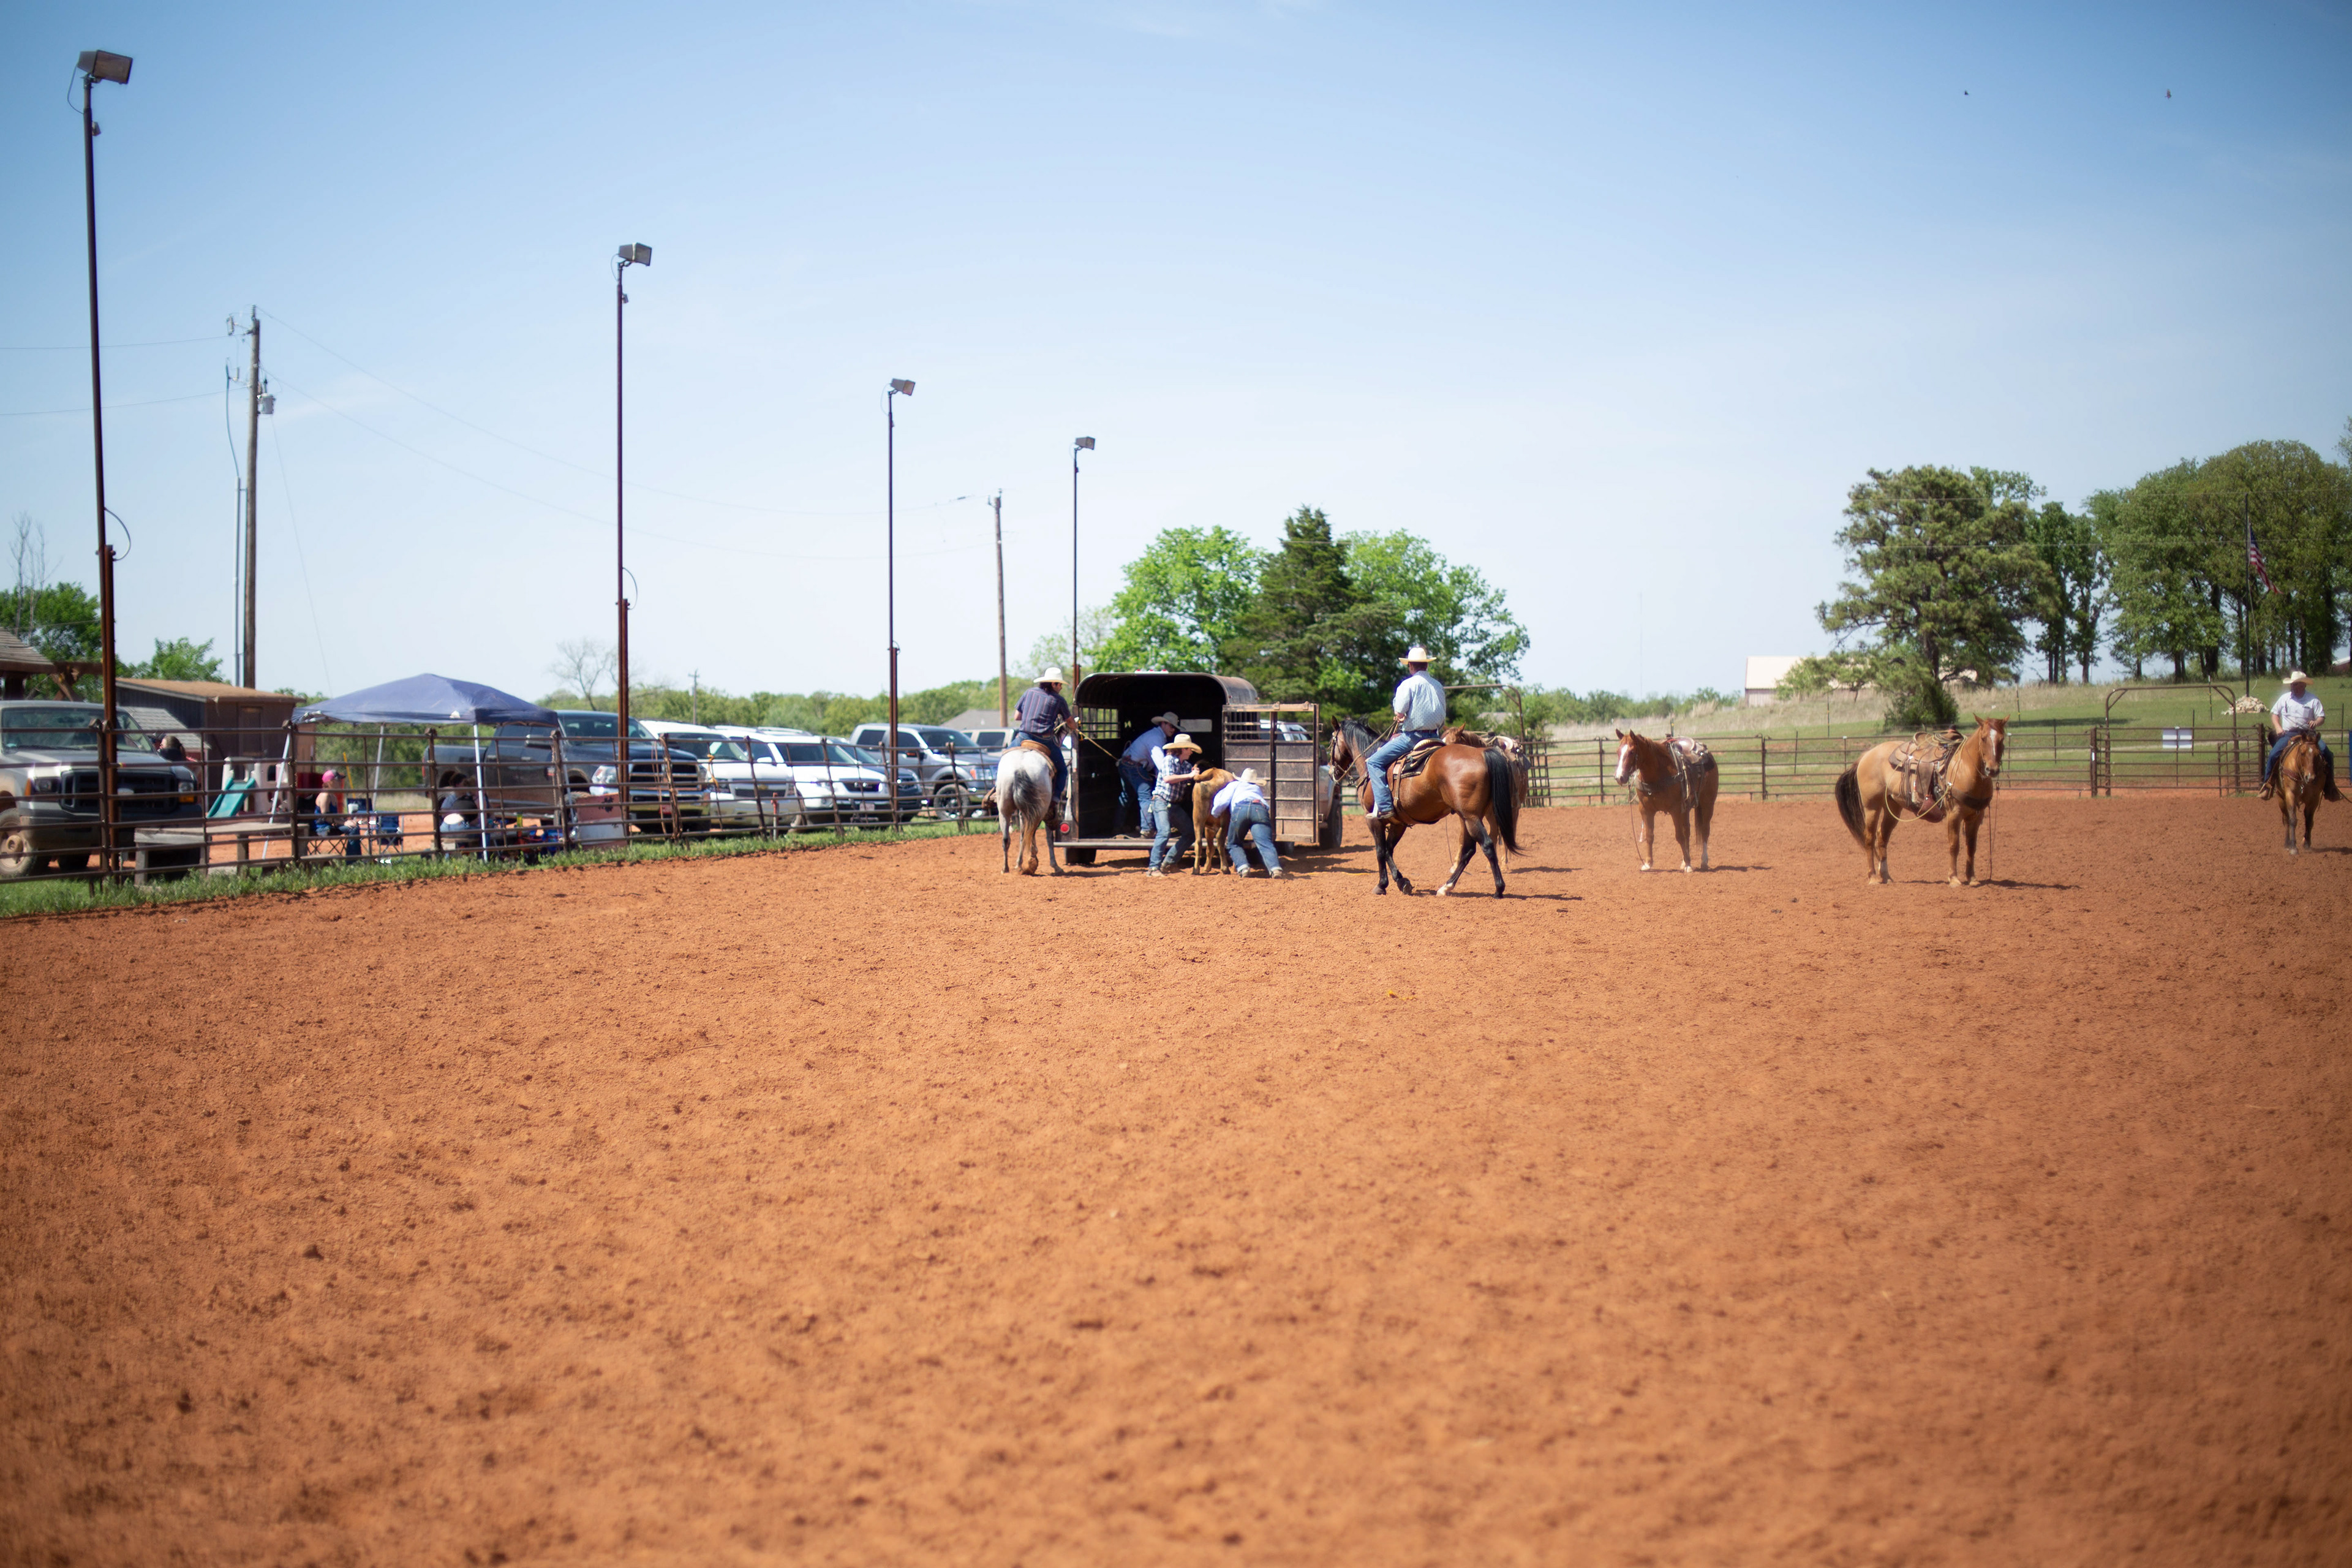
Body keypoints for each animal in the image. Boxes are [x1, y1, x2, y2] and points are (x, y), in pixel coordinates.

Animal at [995, 747, 1060, 875]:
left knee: (1006, 839)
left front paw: (1018, 864)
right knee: (1031, 833)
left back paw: (1005, 869)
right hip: (1039, 811)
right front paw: (1055, 866)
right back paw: (1032, 862)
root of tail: (1020, 768)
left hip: (1004, 810)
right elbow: (1049, 838)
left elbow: (1022, 835)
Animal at [1330, 717, 1522, 896]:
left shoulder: (1373, 820)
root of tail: (1482, 754)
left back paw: (1498, 889)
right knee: (1469, 850)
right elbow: (1388, 850)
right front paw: (1402, 882)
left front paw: (1382, 885)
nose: (1334, 772)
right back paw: (1446, 887)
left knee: (1487, 845)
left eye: (1332, 742)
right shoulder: (1399, 823)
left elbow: (1380, 851)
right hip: (1471, 817)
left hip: (1471, 817)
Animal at [1614, 730, 1719, 872]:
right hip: (1686, 809)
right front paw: (1648, 864)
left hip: (1707, 804)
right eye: (1618, 751)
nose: (1619, 777)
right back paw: (1684, 861)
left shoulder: (1675, 810)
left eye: (1632, 752)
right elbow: (1650, 836)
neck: (1657, 775)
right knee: (1688, 831)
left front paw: (1689, 865)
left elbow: (1679, 836)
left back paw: (1703, 862)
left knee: (1705, 830)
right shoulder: (1646, 810)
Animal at [1834, 716, 2008, 886]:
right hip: (1872, 807)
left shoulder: (1976, 816)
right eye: (1984, 739)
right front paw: (1953, 878)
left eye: (2002, 739)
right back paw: (1872, 877)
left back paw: (1886, 876)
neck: (1965, 767)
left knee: (1882, 837)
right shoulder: (1954, 814)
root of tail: (1866, 755)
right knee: (1869, 838)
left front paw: (1972, 879)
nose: (1992, 770)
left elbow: (1971, 847)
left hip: (1892, 807)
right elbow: (1954, 845)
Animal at [2272, 729, 2325, 855]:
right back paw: (2287, 843)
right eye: (2302, 753)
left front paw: (2307, 843)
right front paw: (2293, 847)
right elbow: (2292, 819)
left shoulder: (2314, 798)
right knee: (2286, 818)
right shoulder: (2290, 794)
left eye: (2318, 755)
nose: (2310, 778)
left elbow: (2309, 820)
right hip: (2282, 799)